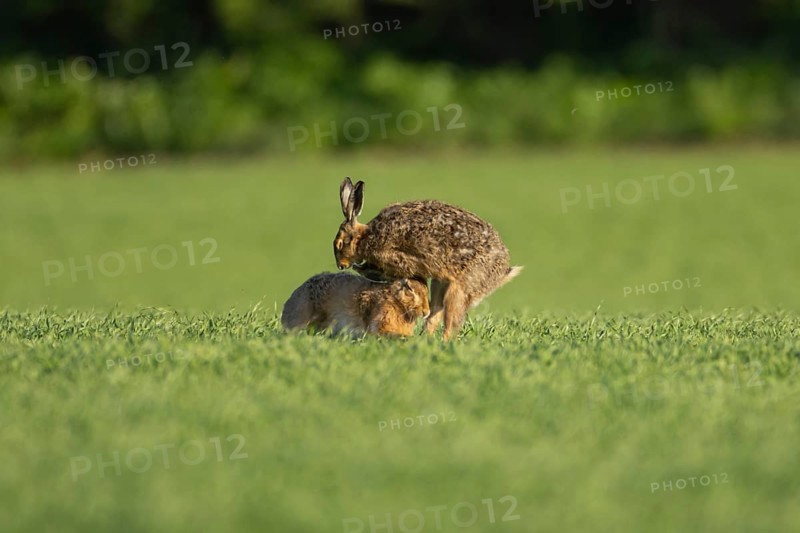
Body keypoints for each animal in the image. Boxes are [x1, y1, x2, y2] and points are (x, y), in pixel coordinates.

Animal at [333, 177, 522, 340]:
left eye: (340, 244)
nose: (340, 265)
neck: (365, 238)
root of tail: (501, 273)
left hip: (459, 289)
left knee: (450, 322)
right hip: (441, 282)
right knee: (435, 314)